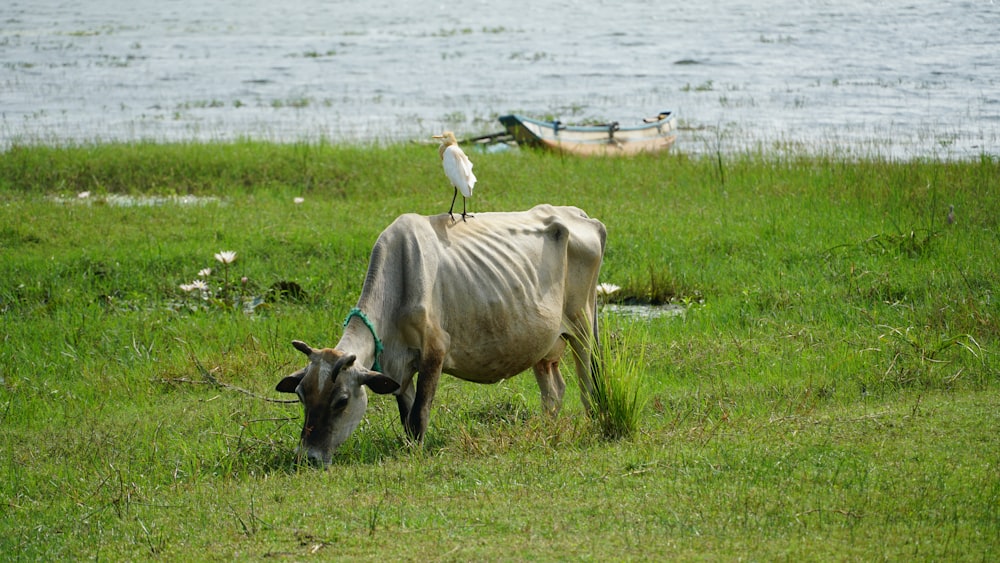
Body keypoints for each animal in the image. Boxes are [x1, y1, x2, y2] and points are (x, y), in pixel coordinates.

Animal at [276, 205, 608, 464]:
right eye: (301, 396)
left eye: (341, 400)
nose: (307, 457)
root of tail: (580, 215)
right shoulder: (399, 370)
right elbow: (406, 417)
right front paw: (410, 447)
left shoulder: (434, 351)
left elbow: (419, 415)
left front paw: (417, 453)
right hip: (544, 344)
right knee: (554, 392)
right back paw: (547, 430)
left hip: (583, 324)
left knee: (587, 384)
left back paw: (595, 423)